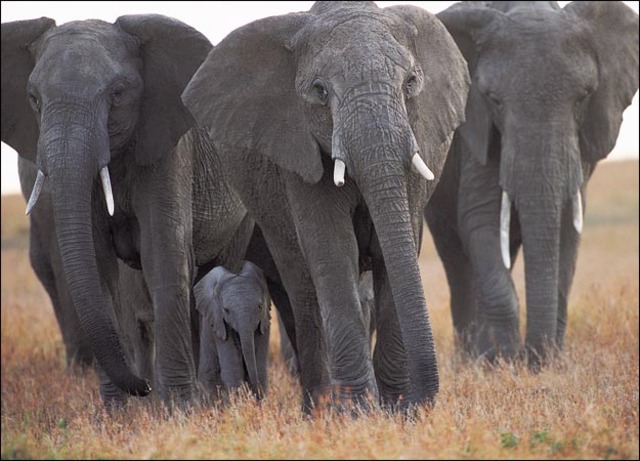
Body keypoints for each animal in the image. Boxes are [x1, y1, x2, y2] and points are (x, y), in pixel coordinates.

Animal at [2, 15, 254, 407]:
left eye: (118, 94)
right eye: (33, 98)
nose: (144, 387)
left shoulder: (168, 151)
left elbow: (163, 255)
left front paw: (178, 410)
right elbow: (97, 263)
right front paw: (116, 412)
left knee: (215, 270)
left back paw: (212, 400)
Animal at [194, 261, 271, 401]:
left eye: (260, 306)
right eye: (226, 310)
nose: (255, 396)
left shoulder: (264, 323)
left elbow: (260, 367)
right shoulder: (220, 326)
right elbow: (233, 369)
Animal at [424, 1, 639, 366]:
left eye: (583, 97)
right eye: (494, 100)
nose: (534, 359)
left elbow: (567, 230)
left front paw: (546, 361)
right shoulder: (476, 137)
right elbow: (479, 220)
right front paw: (505, 362)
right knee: (456, 258)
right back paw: (473, 359)